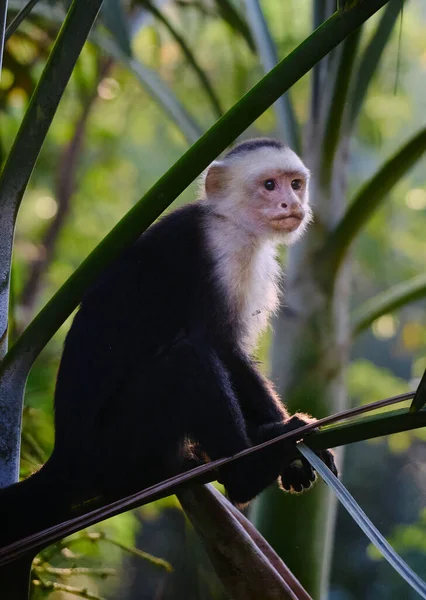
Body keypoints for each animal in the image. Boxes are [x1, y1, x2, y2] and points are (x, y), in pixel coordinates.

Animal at [0, 137, 336, 548]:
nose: (292, 205)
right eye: (270, 185)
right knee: (187, 361)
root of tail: (64, 457)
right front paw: (285, 440)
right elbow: (220, 346)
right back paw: (246, 474)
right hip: (114, 448)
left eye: (296, 184)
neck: (229, 220)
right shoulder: (222, 253)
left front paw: (293, 453)